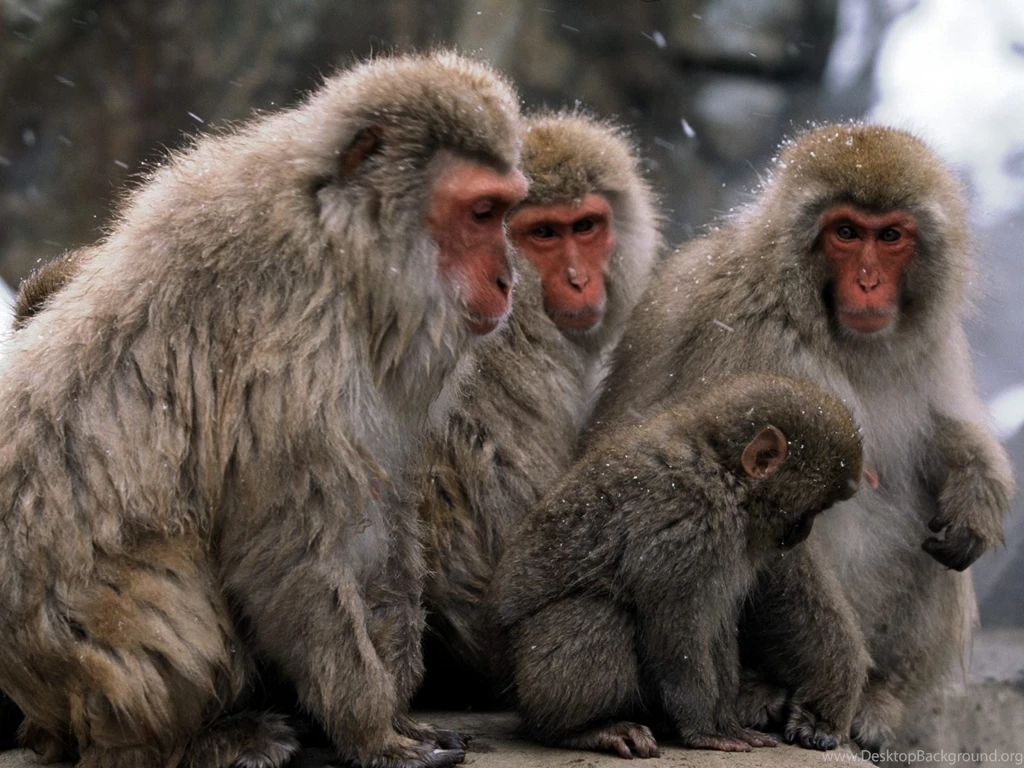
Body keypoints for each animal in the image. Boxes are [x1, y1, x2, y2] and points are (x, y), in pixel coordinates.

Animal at [0, 51, 528, 768]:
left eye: (504, 211)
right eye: (480, 212)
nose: (507, 279)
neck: (341, 242)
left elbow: (381, 506)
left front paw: (394, 706)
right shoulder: (293, 342)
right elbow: (288, 540)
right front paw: (370, 728)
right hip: (73, 658)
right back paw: (199, 740)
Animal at [490, 373, 864, 758]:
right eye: (811, 510)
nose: (804, 533)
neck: (723, 470)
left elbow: (715, 622)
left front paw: (726, 721)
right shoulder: (689, 525)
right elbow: (675, 628)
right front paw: (704, 729)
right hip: (530, 680)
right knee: (599, 616)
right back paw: (579, 729)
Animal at [584, 122, 1016, 751]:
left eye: (890, 235)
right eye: (845, 233)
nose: (868, 282)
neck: (831, 330)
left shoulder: (932, 343)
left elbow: (942, 435)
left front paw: (977, 495)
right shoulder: (755, 336)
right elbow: (771, 517)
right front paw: (834, 684)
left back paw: (881, 694)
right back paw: (768, 687)